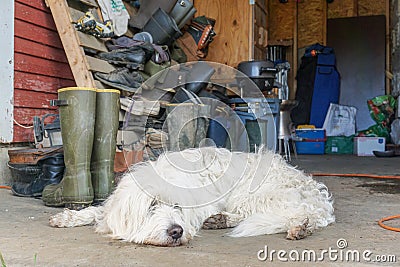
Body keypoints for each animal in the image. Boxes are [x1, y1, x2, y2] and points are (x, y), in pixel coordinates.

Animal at [48, 149, 334, 247]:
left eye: (177, 206)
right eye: (152, 206)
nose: (176, 231)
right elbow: (97, 211)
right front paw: (67, 217)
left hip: (257, 194)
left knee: (297, 214)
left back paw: (300, 227)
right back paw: (220, 220)